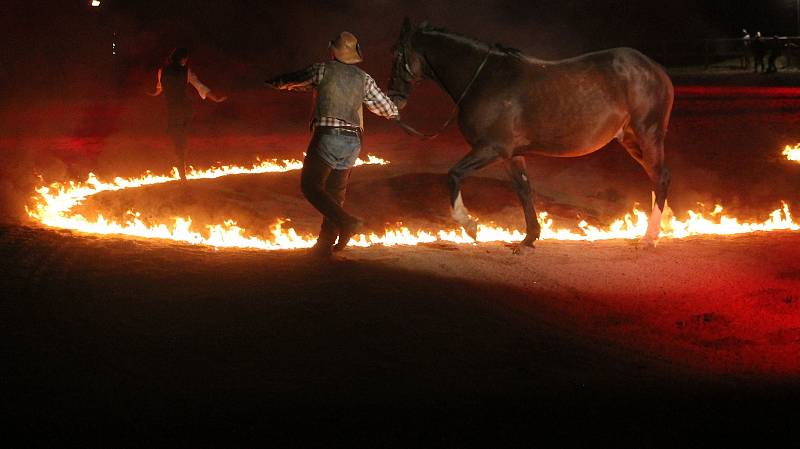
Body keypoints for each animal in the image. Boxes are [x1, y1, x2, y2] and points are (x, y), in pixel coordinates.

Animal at [390, 17, 672, 252]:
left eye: (398, 55)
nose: (394, 98)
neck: (484, 80)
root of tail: (655, 69)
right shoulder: (511, 155)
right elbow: (524, 190)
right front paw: (529, 239)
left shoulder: (491, 148)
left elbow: (454, 174)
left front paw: (469, 225)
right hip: (632, 141)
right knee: (657, 178)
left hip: (648, 135)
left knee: (661, 179)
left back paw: (649, 238)